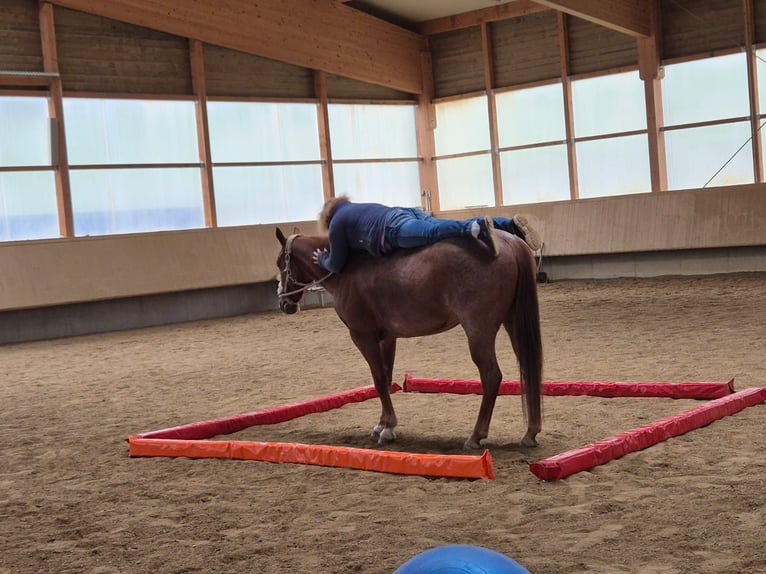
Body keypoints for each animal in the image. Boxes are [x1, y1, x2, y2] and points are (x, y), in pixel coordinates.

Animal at [275, 226, 543, 450]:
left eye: (280, 263)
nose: (283, 303)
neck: (348, 268)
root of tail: (508, 242)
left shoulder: (363, 336)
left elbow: (378, 379)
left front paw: (388, 428)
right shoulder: (387, 338)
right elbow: (385, 377)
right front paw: (383, 424)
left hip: (479, 331)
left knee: (491, 376)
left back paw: (476, 436)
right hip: (513, 323)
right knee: (528, 368)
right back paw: (530, 432)